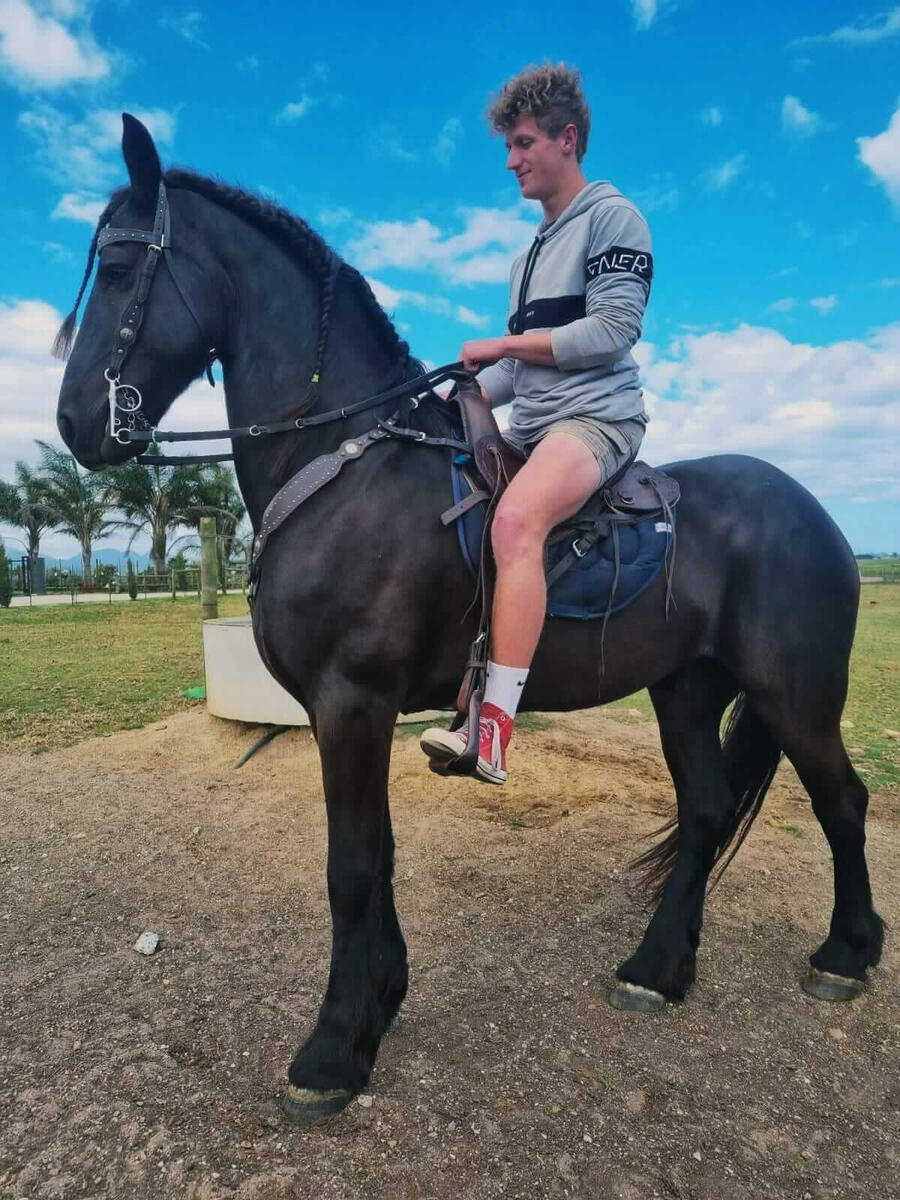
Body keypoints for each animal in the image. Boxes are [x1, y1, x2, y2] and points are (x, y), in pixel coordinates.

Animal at [55, 115, 884, 1124]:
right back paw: (658, 968)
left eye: (122, 269)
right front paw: (379, 1003)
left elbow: (351, 867)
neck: (349, 461)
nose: (75, 423)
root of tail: (819, 516)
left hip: (797, 697)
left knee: (844, 804)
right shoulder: (354, 714)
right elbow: (380, 856)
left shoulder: (352, 702)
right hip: (687, 692)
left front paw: (332, 1052)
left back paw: (845, 954)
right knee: (706, 810)